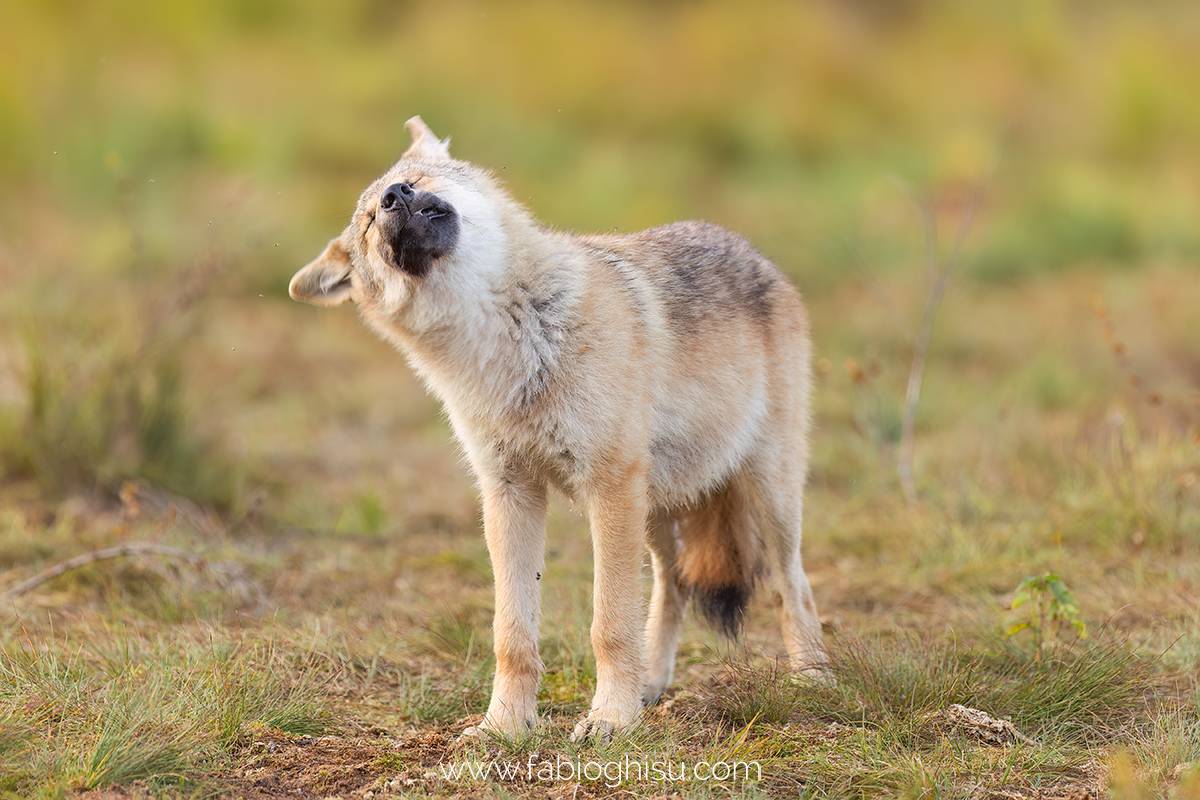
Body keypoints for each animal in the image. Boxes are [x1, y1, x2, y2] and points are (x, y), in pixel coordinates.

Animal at [290, 115, 825, 743]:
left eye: (412, 183)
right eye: (373, 220)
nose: (395, 196)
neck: (507, 343)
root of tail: (753, 252)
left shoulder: (608, 489)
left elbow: (608, 624)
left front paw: (610, 719)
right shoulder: (510, 495)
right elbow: (512, 635)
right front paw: (504, 725)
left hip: (764, 496)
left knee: (792, 584)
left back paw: (813, 679)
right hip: (657, 511)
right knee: (672, 588)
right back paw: (650, 685)